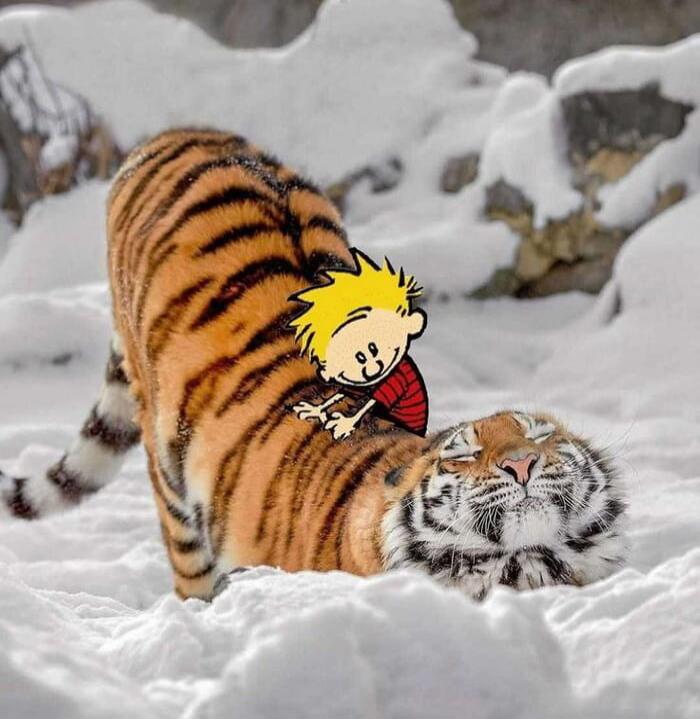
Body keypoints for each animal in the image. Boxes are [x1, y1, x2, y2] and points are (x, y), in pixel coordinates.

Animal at [0, 128, 627, 600]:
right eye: (465, 454)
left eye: (541, 436)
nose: (522, 464)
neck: (525, 564)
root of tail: (182, 132)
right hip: (169, 471)